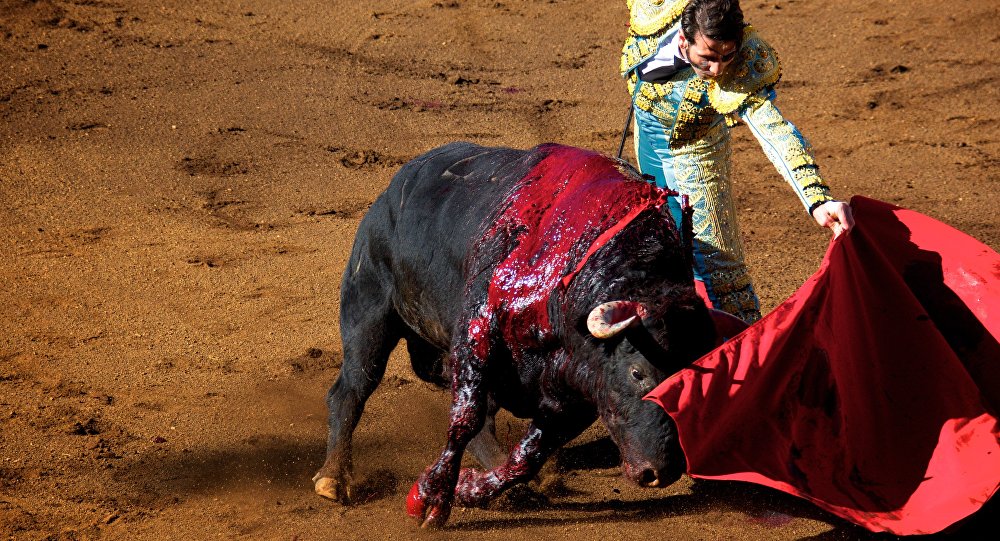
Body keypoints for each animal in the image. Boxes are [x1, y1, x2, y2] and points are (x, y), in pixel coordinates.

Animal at [314, 141, 744, 524]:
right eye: (638, 372)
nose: (660, 472)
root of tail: (393, 190)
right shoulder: (477, 331)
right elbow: (465, 418)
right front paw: (429, 499)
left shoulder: (574, 397)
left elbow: (526, 457)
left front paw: (471, 489)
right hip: (369, 313)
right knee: (351, 389)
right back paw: (333, 479)